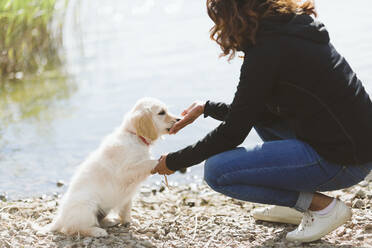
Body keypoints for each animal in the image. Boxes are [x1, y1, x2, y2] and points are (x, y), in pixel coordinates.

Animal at [46, 97, 180, 236]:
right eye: (161, 112)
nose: (179, 119)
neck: (134, 136)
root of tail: (60, 218)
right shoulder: (125, 171)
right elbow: (147, 162)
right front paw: (159, 162)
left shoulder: (127, 195)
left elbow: (126, 209)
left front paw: (129, 222)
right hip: (87, 205)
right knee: (75, 228)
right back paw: (97, 231)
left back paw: (110, 221)